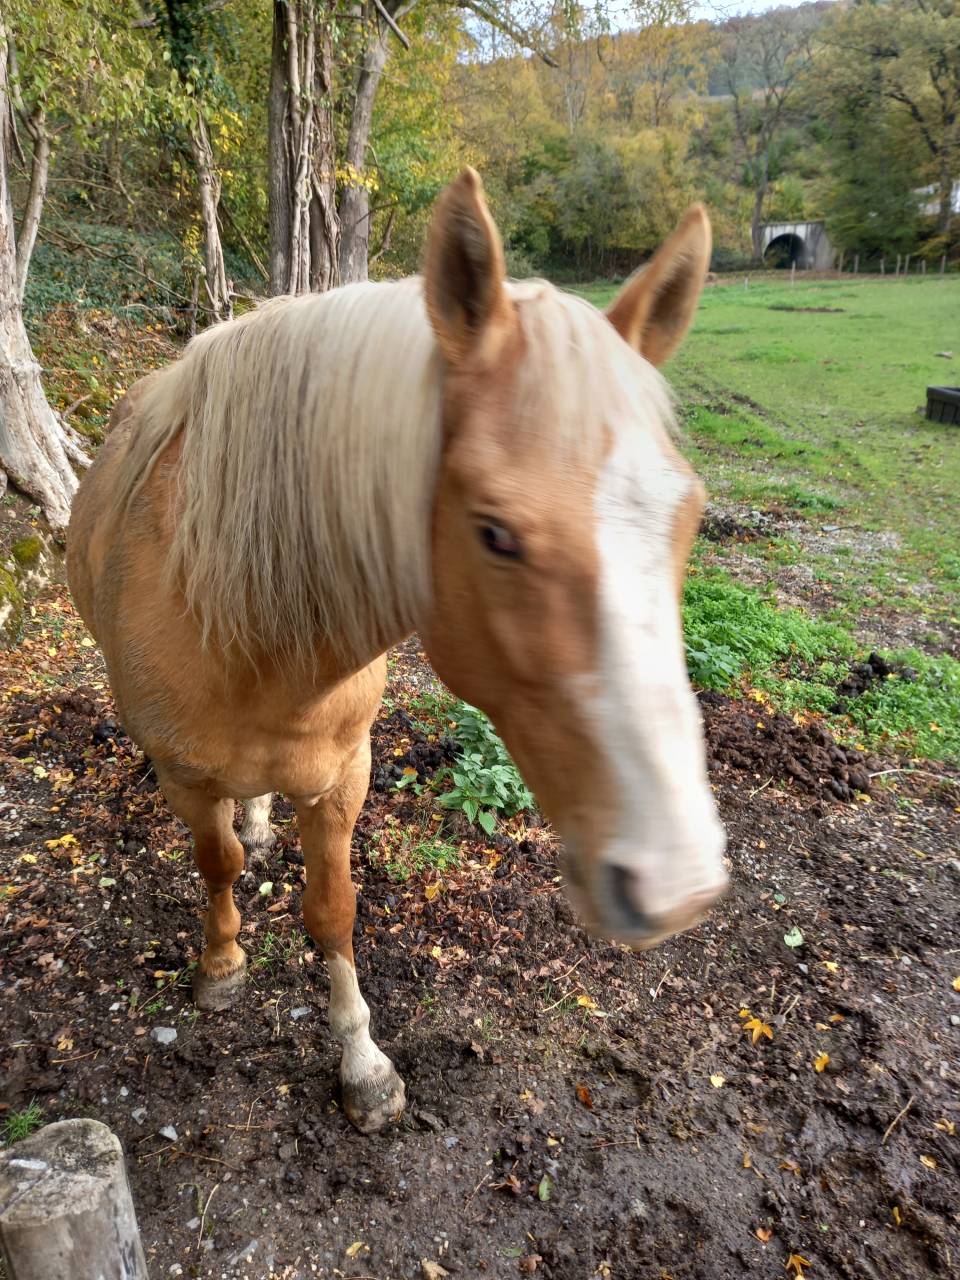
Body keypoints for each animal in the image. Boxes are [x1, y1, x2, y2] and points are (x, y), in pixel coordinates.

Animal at [66, 169, 728, 1134]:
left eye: (690, 515)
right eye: (495, 533)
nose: (674, 880)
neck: (253, 636)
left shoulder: (344, 772)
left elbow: (332, 911)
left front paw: (364, 1064)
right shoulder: (183, 777)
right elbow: (216, 865)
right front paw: (221, 967)